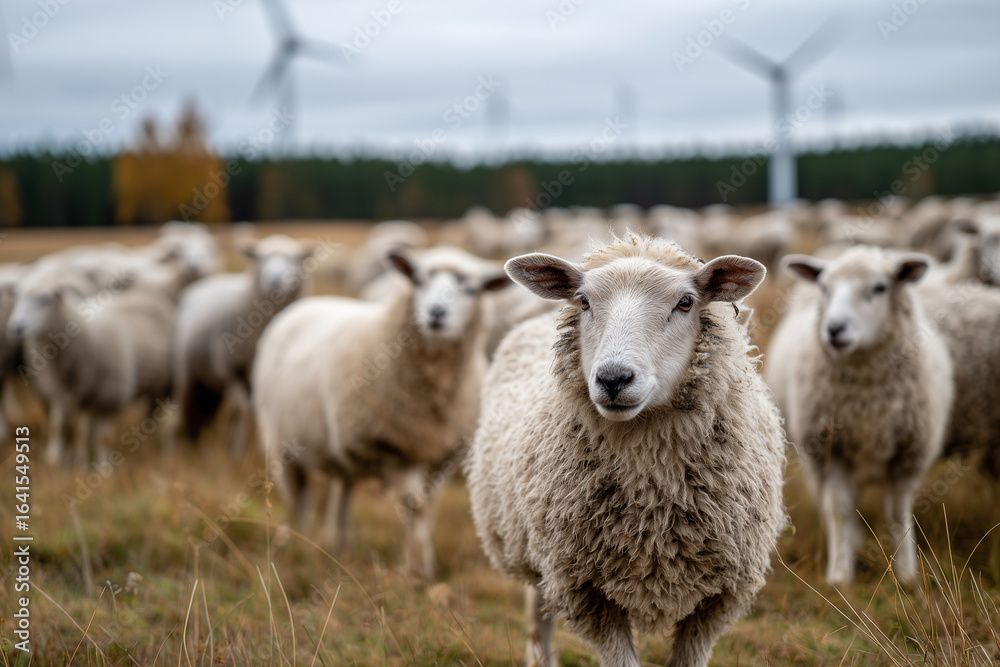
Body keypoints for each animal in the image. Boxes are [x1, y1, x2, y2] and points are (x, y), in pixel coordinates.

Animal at [168, 234, 314, 457]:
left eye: (293, 258)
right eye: (259, 258)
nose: (275, 280)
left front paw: (256, 450)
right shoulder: (228, 368)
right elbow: (246, 409)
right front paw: (240, 453)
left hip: (212, 385)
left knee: (205, 413)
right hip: (187, 373)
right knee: (182, 414)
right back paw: (182, 451)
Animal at [252, 245, 512, 578]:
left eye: (470, 289)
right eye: (418, 280)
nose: (436, 313)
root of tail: (305, 305)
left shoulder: (443, 455)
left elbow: (428, 505)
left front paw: (422, 560)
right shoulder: (391, 449)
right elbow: (414, 504)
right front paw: (418, 570)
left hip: (339, 453)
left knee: (344, 488)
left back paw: (340, 543)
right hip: (281, 445)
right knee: (300, 499)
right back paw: (301, 546)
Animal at [466, 234, 785, 667]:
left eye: (686, 302)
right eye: (583, 301)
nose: (613, 379)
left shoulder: (720, 596)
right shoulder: (584, 588)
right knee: (539, 621)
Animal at [765, 246, 953, 586]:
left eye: (880, 288)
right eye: (824, 288)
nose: (834, 329)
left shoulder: (909, 454)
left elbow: (898, 514)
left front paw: (907, 574)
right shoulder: (830, 450)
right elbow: (839, 510)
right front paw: (840, 575)